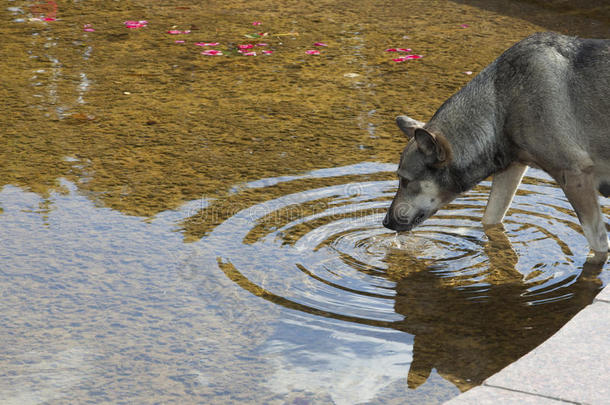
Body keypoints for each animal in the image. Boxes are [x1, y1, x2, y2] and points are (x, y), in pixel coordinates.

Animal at [382, 33, 604, 264]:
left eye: (405, 180)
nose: (385, 222)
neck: (502, 107)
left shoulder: (575, 177)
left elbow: (599, 244)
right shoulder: (512, 168)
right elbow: (489, 219)